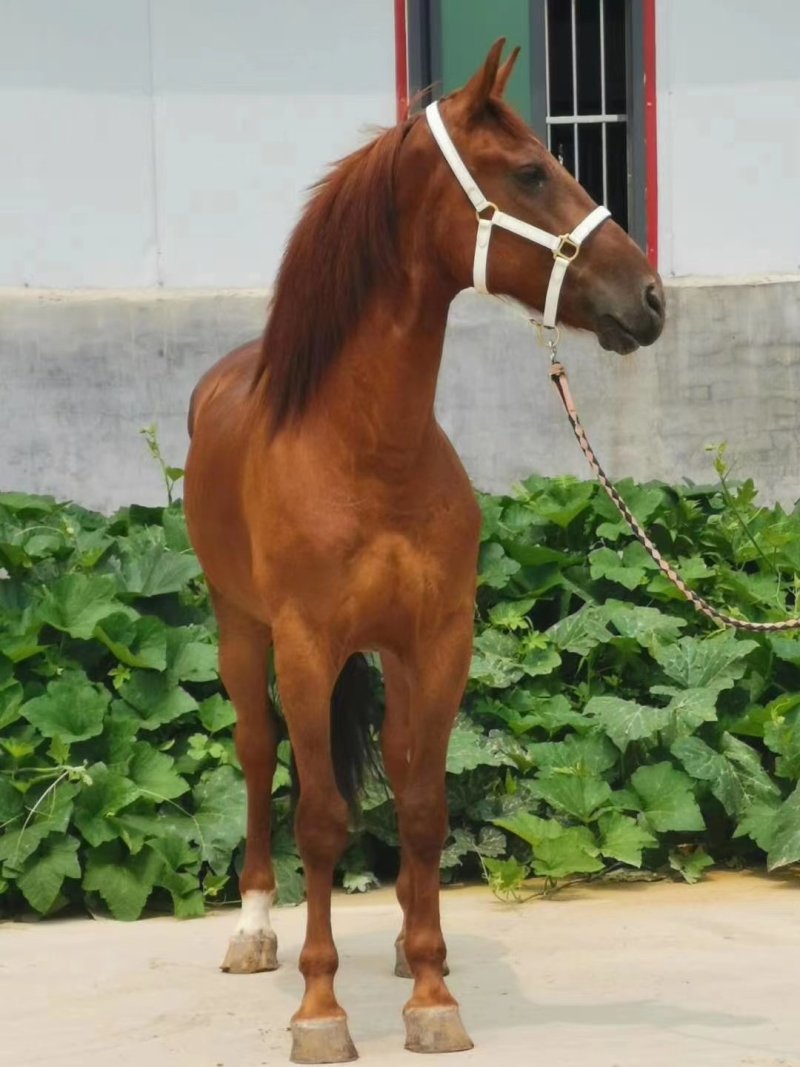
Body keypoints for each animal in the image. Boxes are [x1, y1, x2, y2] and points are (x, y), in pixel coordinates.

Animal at [184, 39, 665, 1064]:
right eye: (529, 172)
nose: (650, 299)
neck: (367, 450)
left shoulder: (441, 640)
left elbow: (424, 806)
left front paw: (434, 993)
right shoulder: (306, 647)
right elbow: (321, 817)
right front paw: (320, 1009)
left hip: (394, 659)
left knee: (405, 772)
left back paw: (409, 938)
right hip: (240, 633)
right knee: (256, 755)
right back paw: (254, 930)